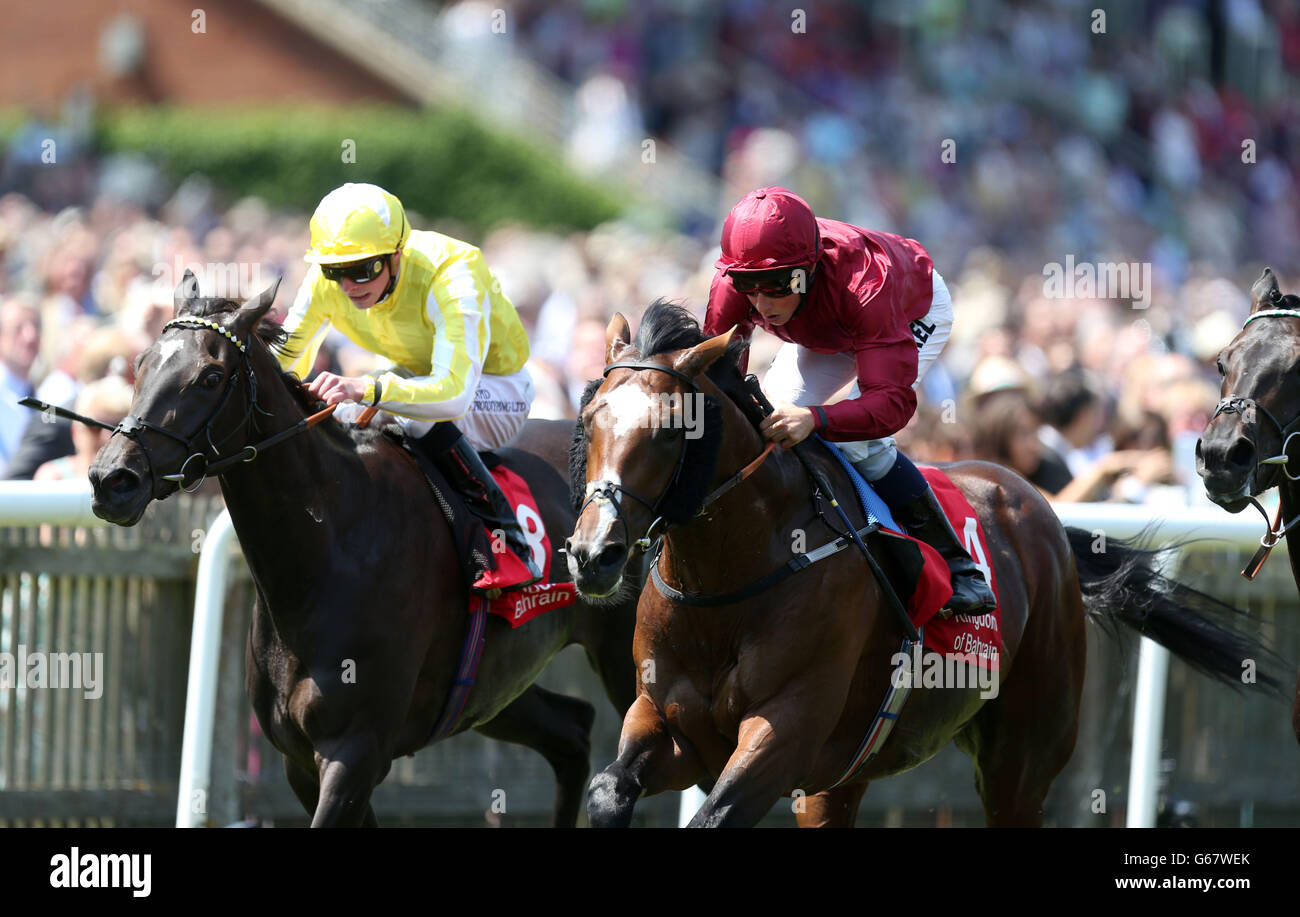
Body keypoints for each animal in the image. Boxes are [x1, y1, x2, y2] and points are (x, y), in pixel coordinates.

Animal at [85, 271, 634, 822]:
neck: (326, 553)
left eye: (210, 377)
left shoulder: (355, 753)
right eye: (140, 364)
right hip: (493, 685)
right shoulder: (301, 761)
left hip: (622, 662)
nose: (112, 478)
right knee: (572, 731)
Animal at [566, 301, 1279, 832]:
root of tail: (1036, 506)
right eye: (591, 415)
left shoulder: (784, 730)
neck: (730, 580)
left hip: (1024, 755)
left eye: (669, 429)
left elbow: (713, 816)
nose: (594, 554)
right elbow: (605, 791)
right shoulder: (668, 720)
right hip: (841, 779)